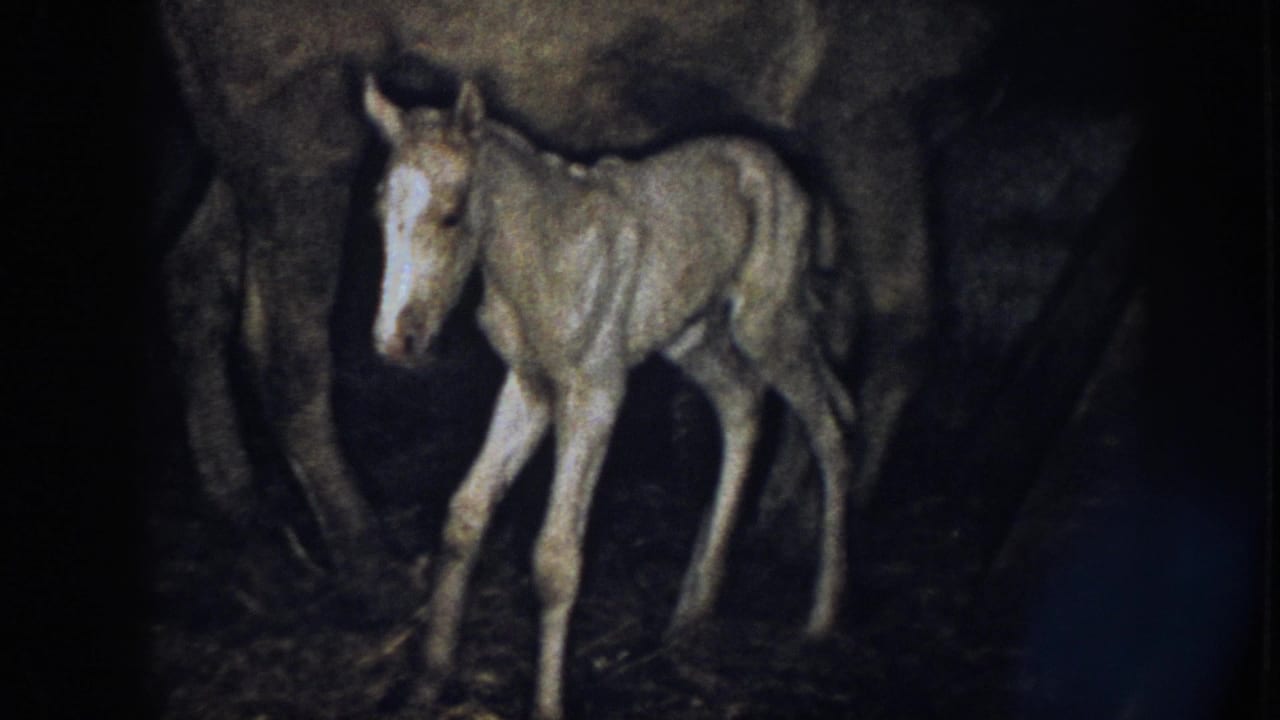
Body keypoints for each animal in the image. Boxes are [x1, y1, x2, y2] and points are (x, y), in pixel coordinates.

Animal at [364, 77, 857, 720]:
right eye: (380, 213)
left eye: (450, 216)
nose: (395, 341)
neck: (543, 257)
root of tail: (782, 171)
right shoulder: (529, 384)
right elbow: (465, 512)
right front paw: (428, 680)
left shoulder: (595, 390)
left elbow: (555, 558)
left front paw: (548, 703)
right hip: (691, 336)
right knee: (742, 404)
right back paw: (690, 614)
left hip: (767, 322)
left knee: (830, 429)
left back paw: (821, 620)